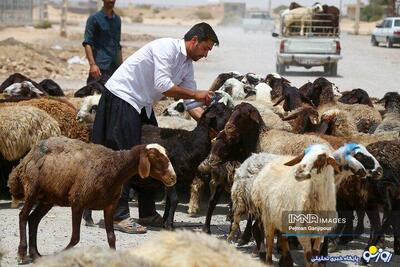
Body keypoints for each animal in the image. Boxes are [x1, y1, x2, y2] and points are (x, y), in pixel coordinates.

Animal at [7, 137, 177, 264]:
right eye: (154, 157)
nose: (173, 178)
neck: (115, 168)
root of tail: (28, 156)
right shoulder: (77, 201)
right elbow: (75, 238)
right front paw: (60, 254)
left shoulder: (110, 206)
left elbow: (111, 237)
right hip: (32, 190)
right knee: (23, 216)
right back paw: (22, 254)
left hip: (48, 198)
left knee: (33, 219)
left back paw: (35, 255)